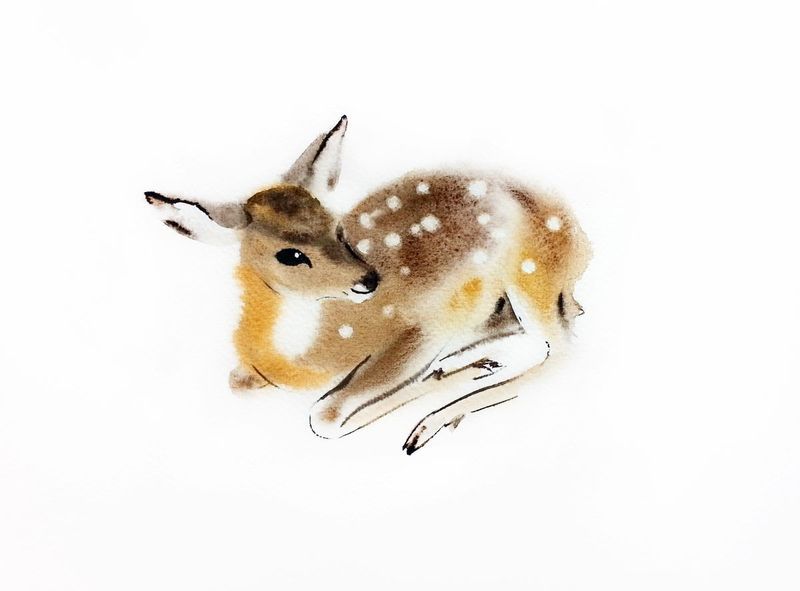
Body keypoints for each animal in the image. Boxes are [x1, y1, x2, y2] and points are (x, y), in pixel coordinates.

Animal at [144, 116, 591, 454]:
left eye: (337, 228)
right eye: (290, 255)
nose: (369, 279)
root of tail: (580, 241)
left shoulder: (423, 326)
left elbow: (322, 416)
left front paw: (437, 382)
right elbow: (238, 384)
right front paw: (458, 369)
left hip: (530, 275)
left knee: (561, 351)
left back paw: (433, 415)